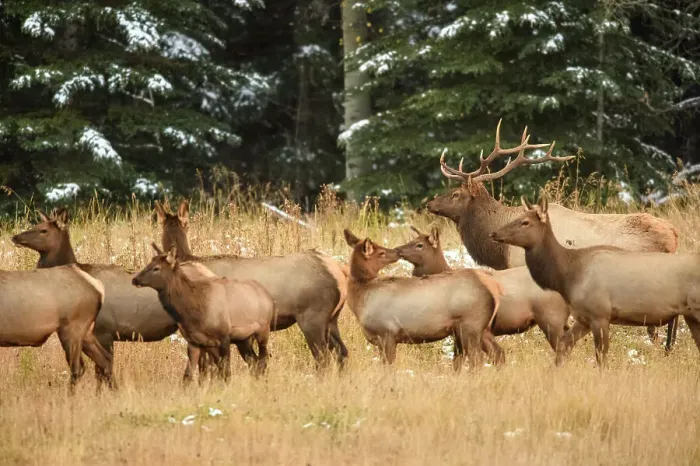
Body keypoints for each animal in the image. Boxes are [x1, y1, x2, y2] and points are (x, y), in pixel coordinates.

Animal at [132, 246, 274, 380]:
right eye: (149, 263)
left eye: (156, 268)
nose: (135, 279)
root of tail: (268, 296)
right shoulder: (195, 342)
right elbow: (188, 376)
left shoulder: (224, 336)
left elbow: (226, 373)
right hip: (243, 339)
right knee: (254, 362)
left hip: (263, 330)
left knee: (263, 360)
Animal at [343, 229, 503, 370]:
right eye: (381, 252)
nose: (397, 251)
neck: (361, 300)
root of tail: (492, 290)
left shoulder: (387, 332)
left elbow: (388, 367)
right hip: (479, 328)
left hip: (471, 324)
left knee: (477, 360)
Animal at [490, 194, 700, 367]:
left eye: (525, 222)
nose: (494, 233)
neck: (569, 275)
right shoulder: (584, 317)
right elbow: (564, 345)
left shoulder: (600, 314)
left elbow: (601, 357)